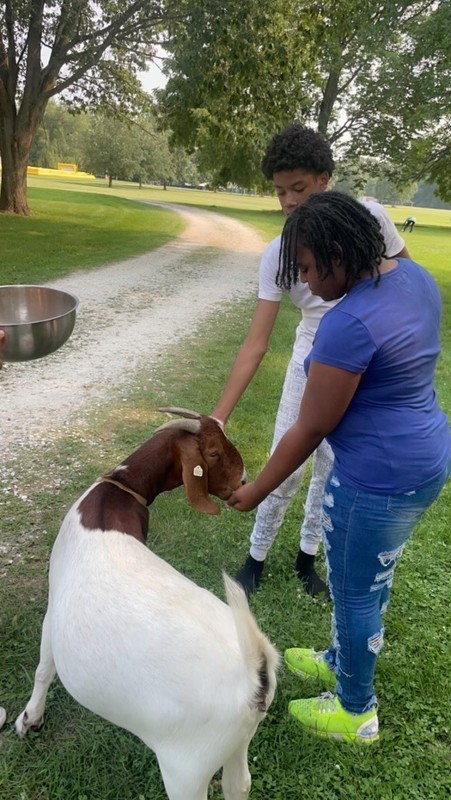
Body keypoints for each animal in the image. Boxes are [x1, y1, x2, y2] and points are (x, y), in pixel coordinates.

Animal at [15, 408, 279, 800]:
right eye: (214, 452)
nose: (245, 481)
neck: (116, 492)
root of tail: (254, 673)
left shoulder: (52, 609)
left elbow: (44, 667)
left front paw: (30, 719)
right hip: (239, 740)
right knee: (239, 784)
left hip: (187, 767)